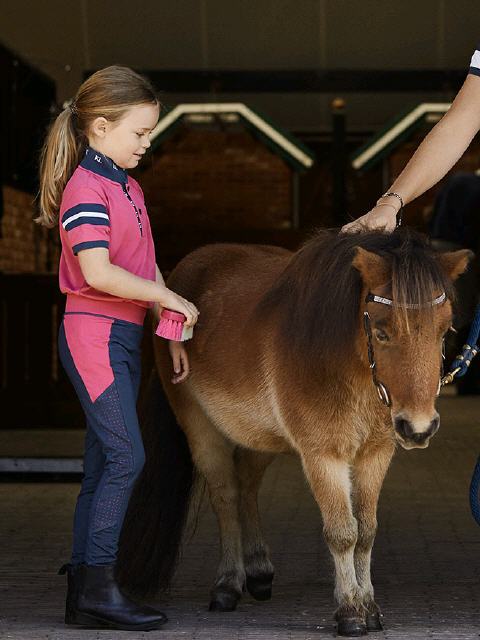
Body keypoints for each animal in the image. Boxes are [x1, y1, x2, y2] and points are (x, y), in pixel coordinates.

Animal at [117, 229, 472, 636]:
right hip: (200, 429)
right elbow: (343, 533)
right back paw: (227, 585)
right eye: (382, 332)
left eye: (445, 331)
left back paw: (258, 572)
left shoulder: (377, 454)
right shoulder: (323, 457)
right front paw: (350, 611)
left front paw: (370, 607)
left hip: (258, 436)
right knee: (225, 496)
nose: (418, 427)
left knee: (247, 486)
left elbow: (366, 531)